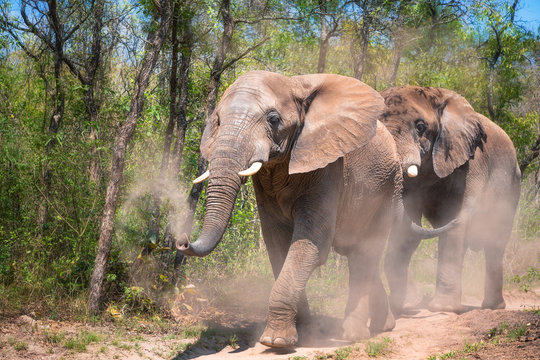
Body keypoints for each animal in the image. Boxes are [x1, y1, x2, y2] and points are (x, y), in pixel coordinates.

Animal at [176, 71, 448, 348]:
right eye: (218, 121)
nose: (182, 240)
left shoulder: (328, 168)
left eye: (273, 120)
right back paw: (385, 326)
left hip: (387, 190)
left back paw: (354, 334)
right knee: (358, 253)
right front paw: (302, 334)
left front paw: (275, 341)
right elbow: (278, 244)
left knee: (364, 254)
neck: (293, 85)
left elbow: (310, 244)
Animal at [382, 86, 520, 314]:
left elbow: (453, 228)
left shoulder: (470, 163)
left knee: (495, 244)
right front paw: (406, 305)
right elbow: (407, 228)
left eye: (420, 126)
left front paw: (443, 308)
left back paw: (493, 307)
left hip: (512, 187)